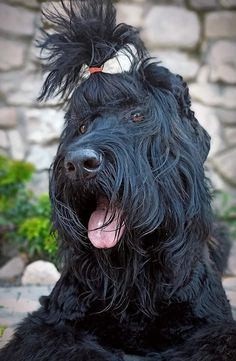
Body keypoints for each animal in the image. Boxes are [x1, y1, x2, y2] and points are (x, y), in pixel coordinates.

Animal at [0, 0, 236, 360]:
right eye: (81, 126)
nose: (78, 163)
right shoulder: (50, 324)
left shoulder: (215, 325)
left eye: (137, 116)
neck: (133, 277)